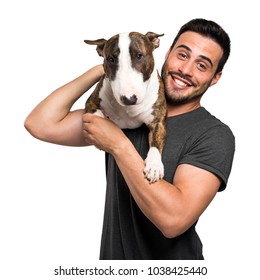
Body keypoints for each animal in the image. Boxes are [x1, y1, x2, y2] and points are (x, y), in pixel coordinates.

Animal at [84, 31, 168, 184]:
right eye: (111, 59)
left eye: (139, 56)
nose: (129, 99)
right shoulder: (91, 102)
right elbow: (97, 115)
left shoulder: (158, 120)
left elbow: (156, 141)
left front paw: (154, 166)